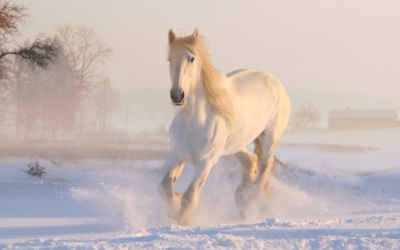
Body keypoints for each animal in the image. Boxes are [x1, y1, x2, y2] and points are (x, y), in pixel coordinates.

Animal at [159, 27, 290, 225]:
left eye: (191, 58)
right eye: (169, 59)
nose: (177, 95)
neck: (193, 121)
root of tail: (276, 82)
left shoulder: (205, 163)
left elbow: (189, 197)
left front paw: (180, 221)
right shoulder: (177, 155)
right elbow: (165, 188)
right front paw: (174, 206)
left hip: (270, 139)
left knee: (265, 166)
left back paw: (251, 199)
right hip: (236, 144)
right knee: (251, 162)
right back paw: (242, 199)